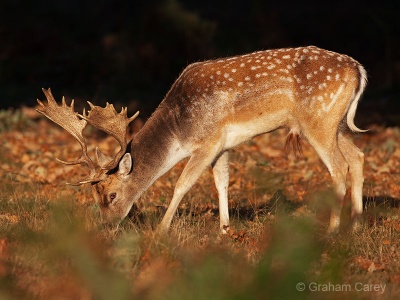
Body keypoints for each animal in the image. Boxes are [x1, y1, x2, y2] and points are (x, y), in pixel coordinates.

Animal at [37, 46, 366, 234]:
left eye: (112, 195)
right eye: (93, 196)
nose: (106, 227)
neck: (180, 129)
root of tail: (358, 69)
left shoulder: (208, 141)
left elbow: (182, 184)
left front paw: (162, 230)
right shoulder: (223, 145)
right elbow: (222, 182)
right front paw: (224, 229)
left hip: (318, 119)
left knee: (339, 166)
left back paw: (332, 231)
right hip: (336, 123)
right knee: (358, 156)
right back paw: (356, 222)